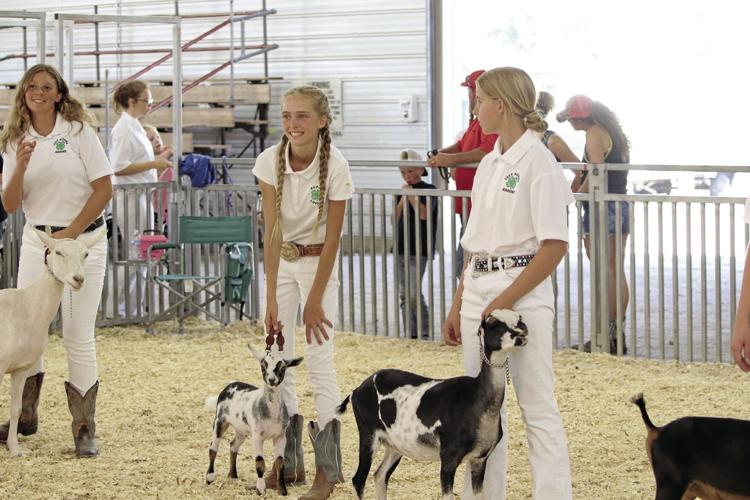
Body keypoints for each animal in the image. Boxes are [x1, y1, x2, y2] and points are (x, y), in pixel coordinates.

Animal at [204, 345, 303, 495]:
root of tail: (229, 386)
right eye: (263, 366)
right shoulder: (257, 436)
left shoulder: (280, 436)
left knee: (233, 445)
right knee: (213, 448)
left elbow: (280, 463)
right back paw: (210, 478)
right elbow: (260, 463)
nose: (271, 379)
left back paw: (233, 475)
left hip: (241, 428)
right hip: (219, 421)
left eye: (283, 367)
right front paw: (261, 489)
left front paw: (282, 490)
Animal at [339, 309, 529, 500]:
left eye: (519, 319)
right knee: (358, 480)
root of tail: (356, 390)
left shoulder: (479, 459)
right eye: (492, 322)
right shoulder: (448, 459)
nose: (521, 333)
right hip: (368, 435)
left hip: (395, 444)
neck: (475, 400)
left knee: (380, 475)